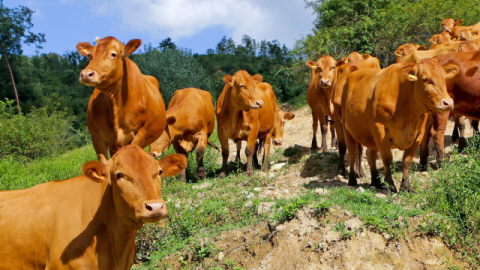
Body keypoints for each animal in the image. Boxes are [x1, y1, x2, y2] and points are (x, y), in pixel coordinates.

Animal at [344, 58, 456, 192]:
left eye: (444, 77)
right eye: (425, 78)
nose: (448, 103)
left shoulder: (419, 133)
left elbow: (407, 160)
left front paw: (405, 185)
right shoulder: (379, 129)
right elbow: (387, 158)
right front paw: (390, 185)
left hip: (371, 138)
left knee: (370, 155)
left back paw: (376, 182)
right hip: (347, 129)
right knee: (352, 154)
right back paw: (352, 181)